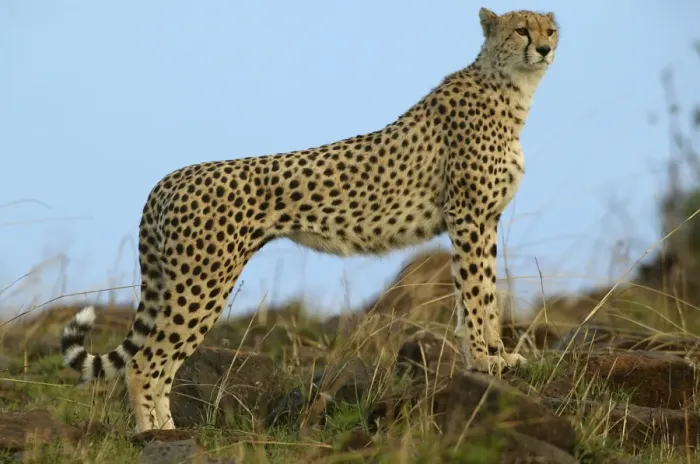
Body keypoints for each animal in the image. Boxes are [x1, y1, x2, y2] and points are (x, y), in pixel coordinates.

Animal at [60, 7, 559, 433]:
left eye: (550, 30)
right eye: (521, 30)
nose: (543, 49)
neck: (509, 88)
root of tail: (169, 178)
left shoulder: (483, 220)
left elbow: (483, 294)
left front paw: (497, 357)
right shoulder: (469, 217)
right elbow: (476, 295)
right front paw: (487, 361)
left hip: (179, 282)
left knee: (155, 361)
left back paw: (164, 428)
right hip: (201, 282)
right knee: (146, 363)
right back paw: (155, 435)